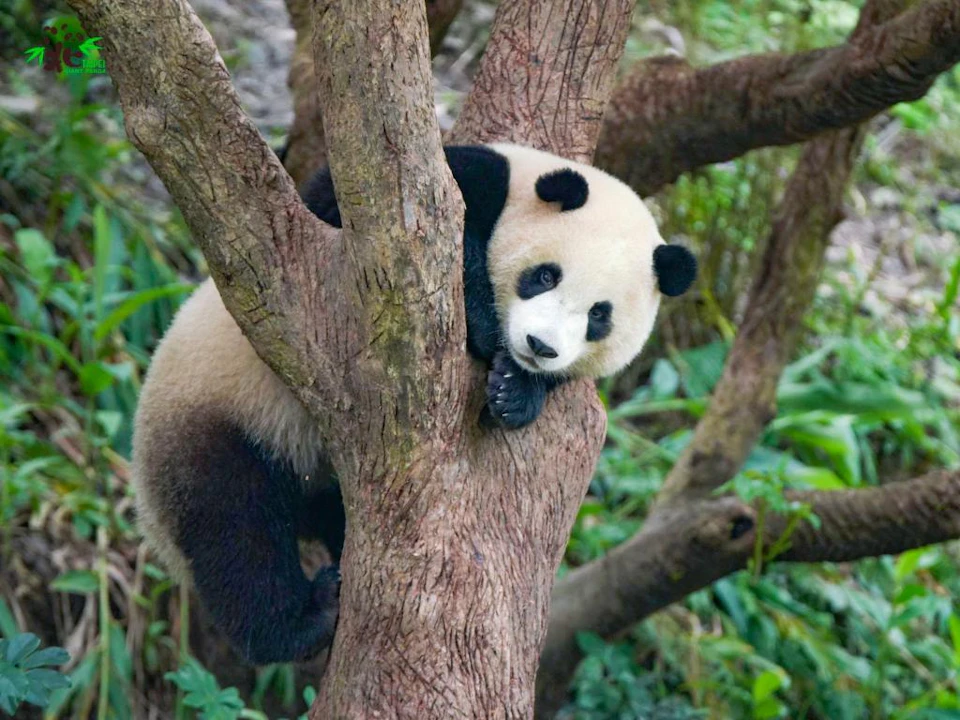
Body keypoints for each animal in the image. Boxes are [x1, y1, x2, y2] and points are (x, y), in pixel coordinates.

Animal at [131, 143, 696, 665]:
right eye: (544, 275)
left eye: (600, 316)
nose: (539, 345)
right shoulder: (454, 185)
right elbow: (363, 222)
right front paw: (485, 331)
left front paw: (517, 392)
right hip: (220, 419)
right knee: (236, 531)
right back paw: (305, 619)